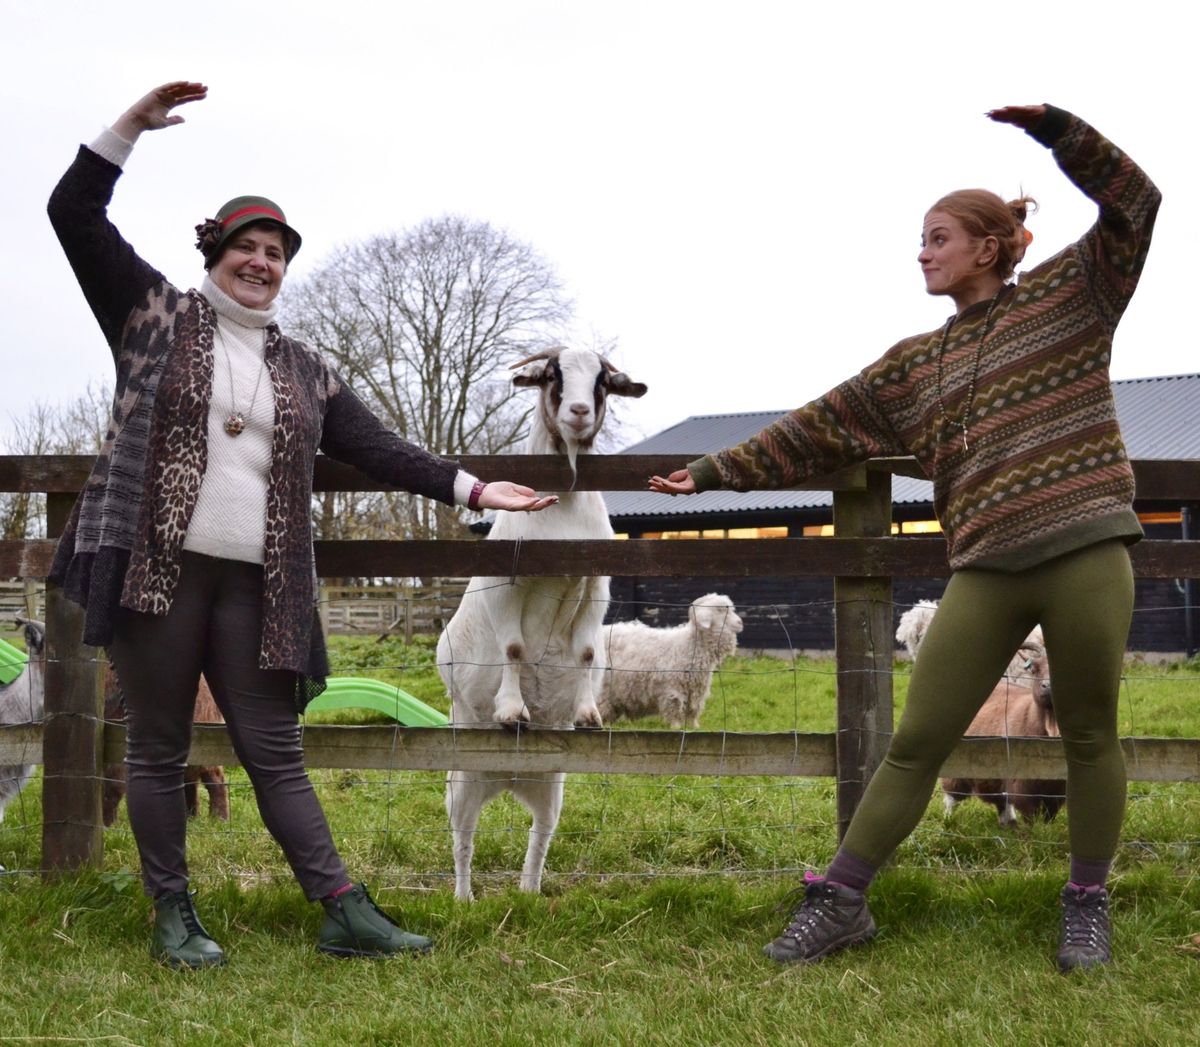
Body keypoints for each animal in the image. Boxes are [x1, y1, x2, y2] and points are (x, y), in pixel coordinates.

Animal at [439, 345, 648, 898]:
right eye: (552, 375)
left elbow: (588, 651)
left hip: (551, 782)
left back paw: (529, 891)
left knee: (542, 831)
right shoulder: (508, 583)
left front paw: (588, 713)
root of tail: (511, 779)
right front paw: (513, 710)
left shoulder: (596, 584)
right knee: (462, 835)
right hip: (463, 774)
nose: (578, 411)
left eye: (602, 382)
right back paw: (464, 897)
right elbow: (513, 648)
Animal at [597, 593, 739, 730]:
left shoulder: (695, 691)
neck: (689, 645)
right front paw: (676, 727)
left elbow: (692, 711)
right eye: (720, 610)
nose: (740, 622)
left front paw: (694, 727)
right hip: (604, 689)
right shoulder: (672, 689)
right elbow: (674, 710)